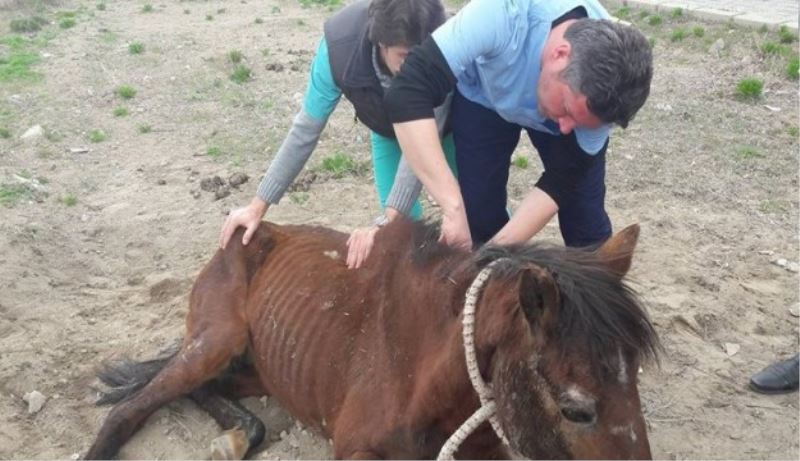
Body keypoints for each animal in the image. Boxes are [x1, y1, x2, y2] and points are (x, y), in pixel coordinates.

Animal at [86, 217, 664, 458]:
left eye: (635, 383)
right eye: (576, 411)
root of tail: (249, 231)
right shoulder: (354, 451)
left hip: (260, 369)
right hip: (214, 343)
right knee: (130, 409)